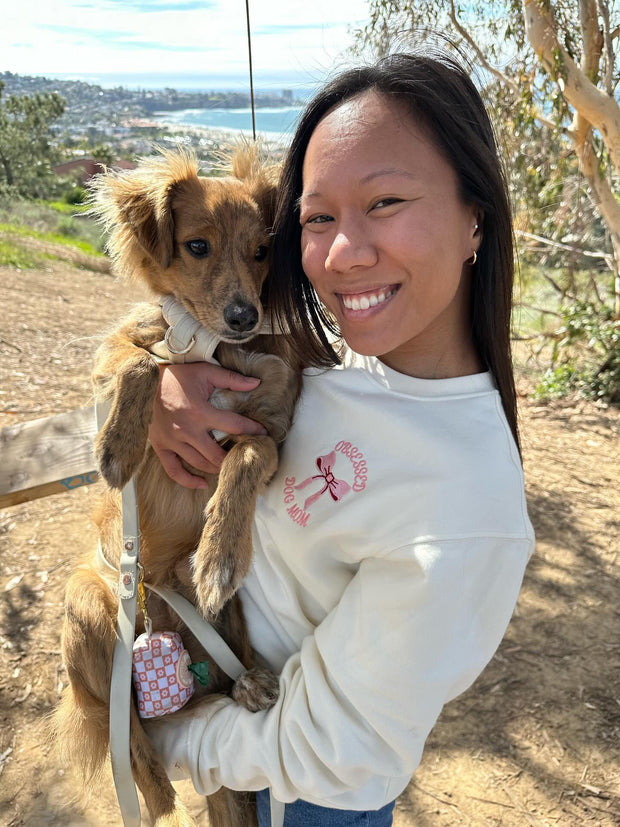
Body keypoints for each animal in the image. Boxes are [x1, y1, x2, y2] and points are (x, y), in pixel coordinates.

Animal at [52, 149, 302, 827]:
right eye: (196, 246)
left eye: (263, 249)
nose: (245, 317)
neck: (213, 349)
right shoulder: (115, 350)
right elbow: (141, 362)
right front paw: (117, 446)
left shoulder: (269, 434)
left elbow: (242, 458)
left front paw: (220, 550)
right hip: (88, 605)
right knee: (130, 734)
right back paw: (159, 790)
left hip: (217, 611)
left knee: (207, 680)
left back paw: (246, 681)